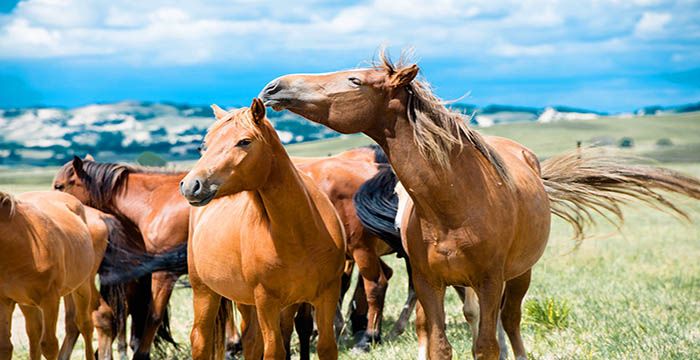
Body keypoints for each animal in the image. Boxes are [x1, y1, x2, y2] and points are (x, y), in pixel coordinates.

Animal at [0, 191, 97, 360]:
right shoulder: (4, 301)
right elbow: (5, 347)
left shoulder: (50, 299)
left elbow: (50, 346)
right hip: (27, 304)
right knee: (34, 336)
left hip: (82, 287)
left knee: (85, 325)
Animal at [179, 99, 346, 360]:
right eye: (203, 146)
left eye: (244, 141)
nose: (191, 186)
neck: (300, 235)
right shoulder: (266, 301)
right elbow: (274, 350)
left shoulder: (327, 294)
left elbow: (326, 346)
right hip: (204, 291)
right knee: (201, 340)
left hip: (246, 301)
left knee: (251, 341)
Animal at [258, 51, 700, 360]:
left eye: (354, 80)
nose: (274, 87)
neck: (455, 201)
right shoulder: (430, 282)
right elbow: (440, 343)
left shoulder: (490, 280)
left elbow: (486, 345)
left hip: (519, 276)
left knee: (510, 324)